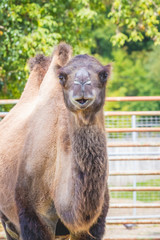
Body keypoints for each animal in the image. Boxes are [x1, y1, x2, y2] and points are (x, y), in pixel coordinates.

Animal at [0, 43, 110, 240]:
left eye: (103, 75)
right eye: (62, 76)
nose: (83, 85)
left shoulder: (91, 226)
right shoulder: (34, 217)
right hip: (8, 218)